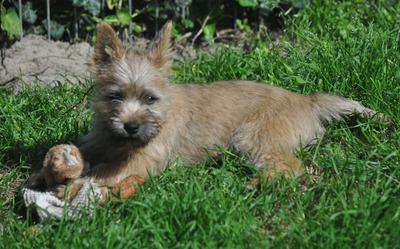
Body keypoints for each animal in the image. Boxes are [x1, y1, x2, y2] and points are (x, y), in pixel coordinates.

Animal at [56, 21, 384, 200]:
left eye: (150, 99)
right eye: (115, 97)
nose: (131, 127)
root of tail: (307, 100)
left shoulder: (138, 162)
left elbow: (99, 172)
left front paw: (69, 190)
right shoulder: (98, 143)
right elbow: (86, 156)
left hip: (255, 139)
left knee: (291, 167)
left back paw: (256, 184)